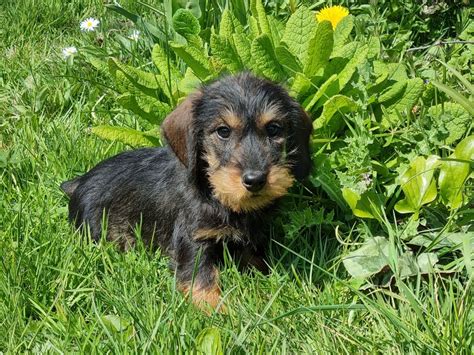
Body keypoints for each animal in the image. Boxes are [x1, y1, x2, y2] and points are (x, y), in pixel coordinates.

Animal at [61, 72, 312, 312]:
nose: (255, 179)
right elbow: (201, 279)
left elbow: (257, 262)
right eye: (223, 131)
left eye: (274, 129)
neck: (216, 196)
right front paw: (221, 311)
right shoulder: (193, 240)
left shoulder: (251, 241)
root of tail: (80, 181)